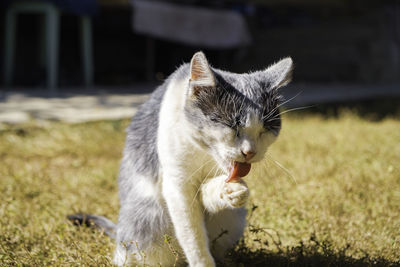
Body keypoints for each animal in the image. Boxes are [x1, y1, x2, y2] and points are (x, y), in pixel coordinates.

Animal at [69, 52, 294, 267]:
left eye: (265, 129)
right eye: (232, 126)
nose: (250, 152)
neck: (204, 154)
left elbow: (207, 194)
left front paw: (231, 191)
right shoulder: (178, 185)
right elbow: (192, 234)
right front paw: (202, 262)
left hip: (232, 219)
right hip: (147, 217)